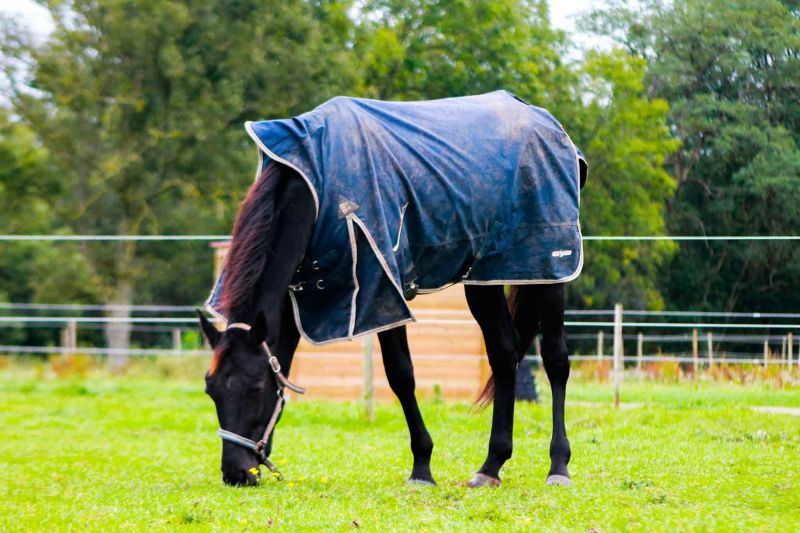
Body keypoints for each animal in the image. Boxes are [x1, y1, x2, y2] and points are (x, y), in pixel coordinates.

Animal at [198, 91, 588, 486]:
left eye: (254, 389)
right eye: (210, 391)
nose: (236, 472)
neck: (317, 183)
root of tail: (548, 124)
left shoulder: (382, 291)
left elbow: (401, 375)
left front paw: (422, 467)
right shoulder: (301, 292)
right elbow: (285, 362)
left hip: (549, 270)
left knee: (556, 359)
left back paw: (559, 466)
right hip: (484, 278)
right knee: (504, 354)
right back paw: (491, 466)